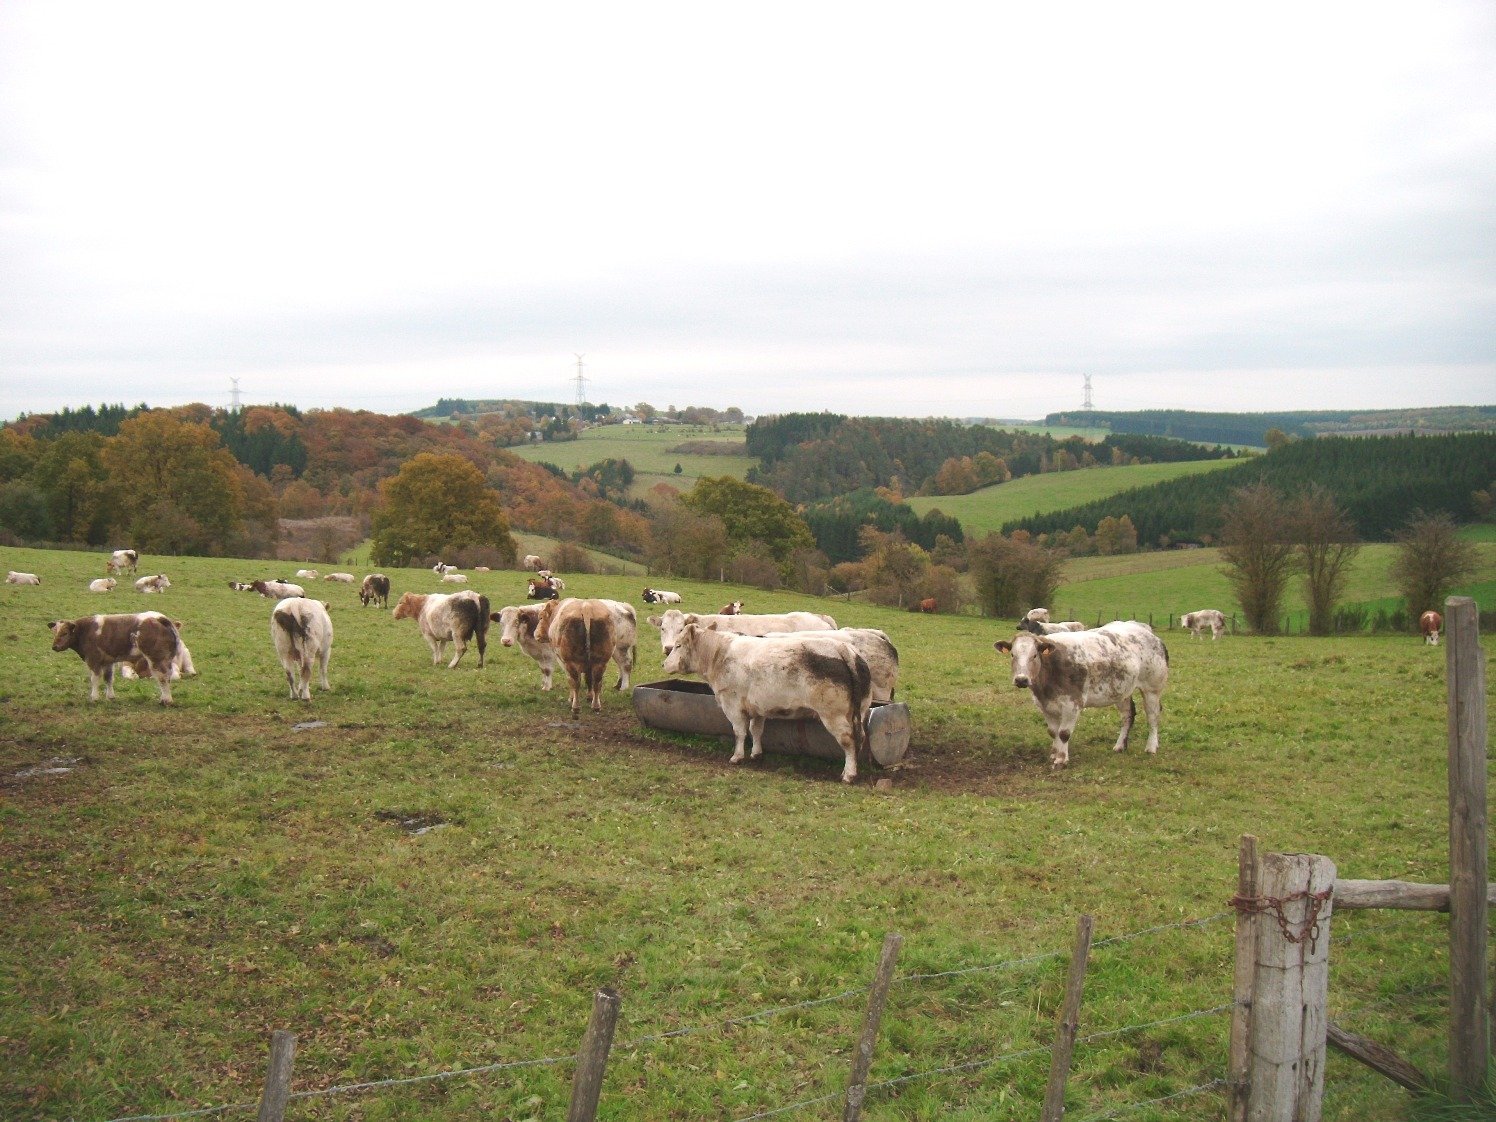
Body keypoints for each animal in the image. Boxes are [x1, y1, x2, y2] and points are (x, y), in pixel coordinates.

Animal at [49, 611, 183, 703]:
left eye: (65, 633)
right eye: (54, 632)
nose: (54, 647)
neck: (85, 631)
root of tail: (159, 618)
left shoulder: (93, 660)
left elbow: (95, 679)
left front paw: (94, 697)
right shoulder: (108, 661)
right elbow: (108, 679)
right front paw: (110, 697)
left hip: (156, 658)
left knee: (162, 677)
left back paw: (166, 700)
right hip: (166, 659)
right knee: (167, 676)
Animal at [662, 623, 872, 783]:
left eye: (679, 645)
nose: (663, 664)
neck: (719, 656)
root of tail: (843, 649)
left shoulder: (732, 704)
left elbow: (739, 732)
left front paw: (737, 757)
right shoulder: (758, 708)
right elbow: (756, 730)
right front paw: (756, 754)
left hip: (833, 714)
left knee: (848, 740)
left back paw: (848, 775)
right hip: (859, 710)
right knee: (859, 738)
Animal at [995, 621, 1169, 770]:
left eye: (1035, 655)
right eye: (1012, 655)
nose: (1021, 679)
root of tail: (1147, 631)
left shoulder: (1072, 704)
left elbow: (1064, 733)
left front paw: (1061, 760)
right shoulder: (1045, 705)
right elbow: (1053, 732)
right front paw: (1054, 755)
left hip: (1152, 688)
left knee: (1153, 717)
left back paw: (1151, 747)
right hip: (1122, 690)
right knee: (1128, 715)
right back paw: (1120, 746)